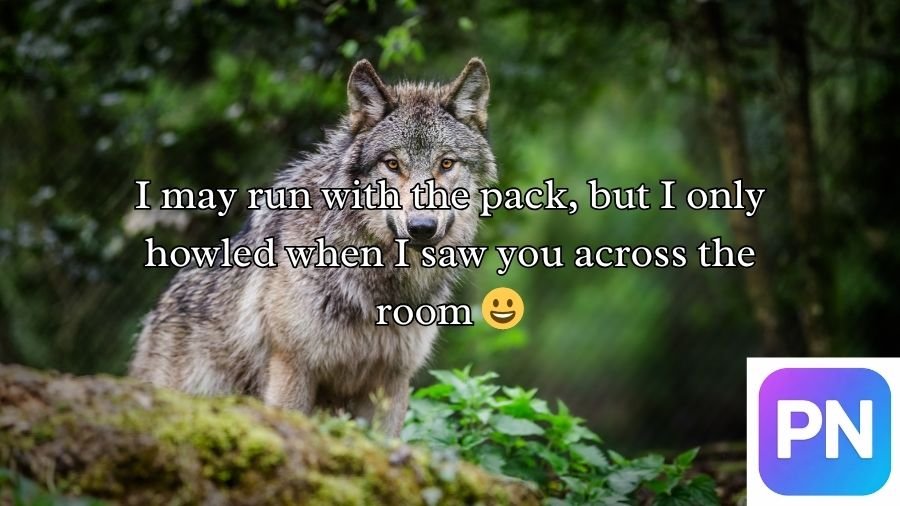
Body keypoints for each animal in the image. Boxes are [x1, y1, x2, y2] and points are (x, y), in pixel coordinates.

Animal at [130, 58, 496, 436]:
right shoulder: (292, 368)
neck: (378, 286)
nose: (422, 227)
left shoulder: (391, 382)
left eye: (446, 163)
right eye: (392, 164)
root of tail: (156, 314)